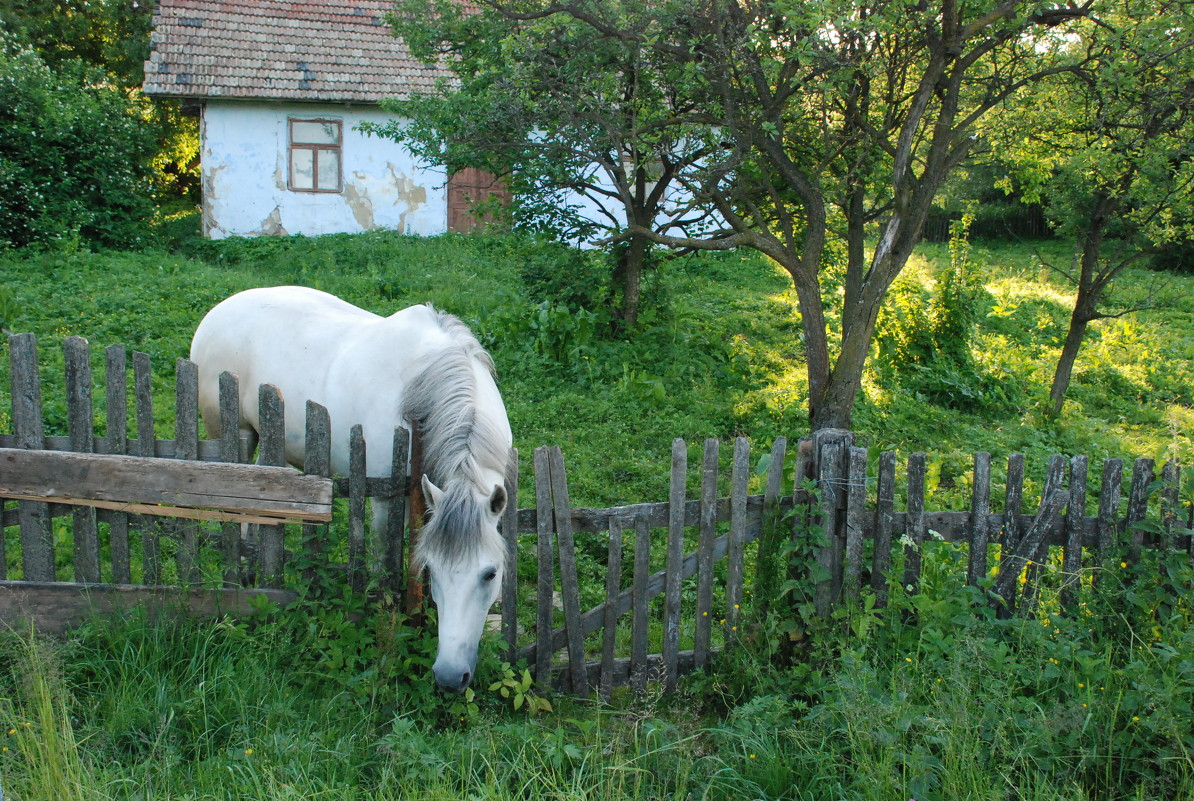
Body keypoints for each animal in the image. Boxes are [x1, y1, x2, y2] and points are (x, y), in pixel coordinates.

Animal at [191, 285, 513, 692]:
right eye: (433, 570)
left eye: (490, 573)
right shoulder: (384, 500)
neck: (426, 391)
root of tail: (219, 310)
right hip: (233, 437)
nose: (451, 677)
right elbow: (382, 566)